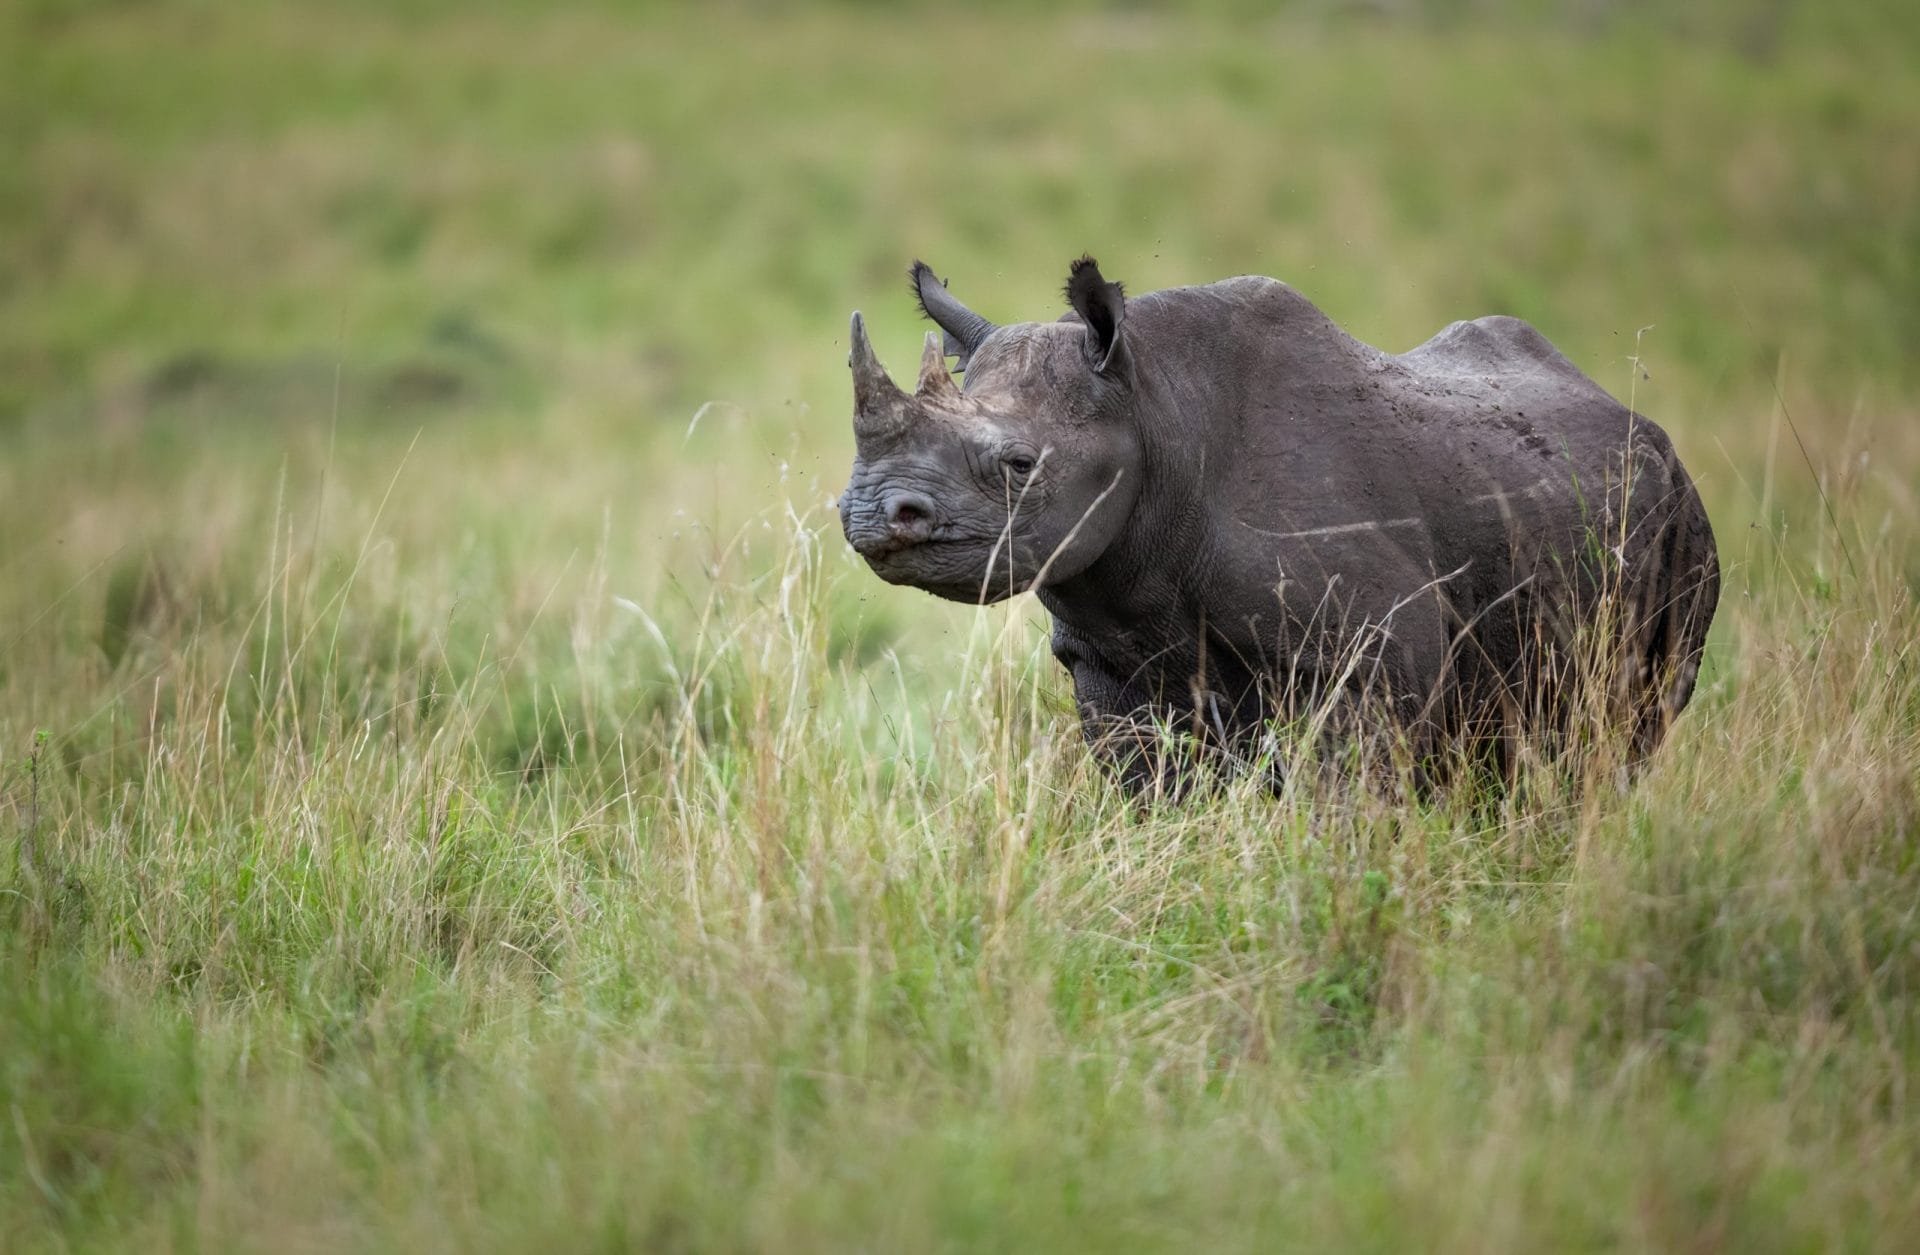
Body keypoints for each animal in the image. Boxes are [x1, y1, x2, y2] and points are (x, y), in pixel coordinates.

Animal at [838, 256, 1720, 792]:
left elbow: (1347, 801)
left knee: (1632, 727)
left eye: (1021, 465)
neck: (1152, 409)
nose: (872, 513)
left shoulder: (1377, 649)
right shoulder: (1108, 657)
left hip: (1682, 522)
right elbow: (1148, 789)